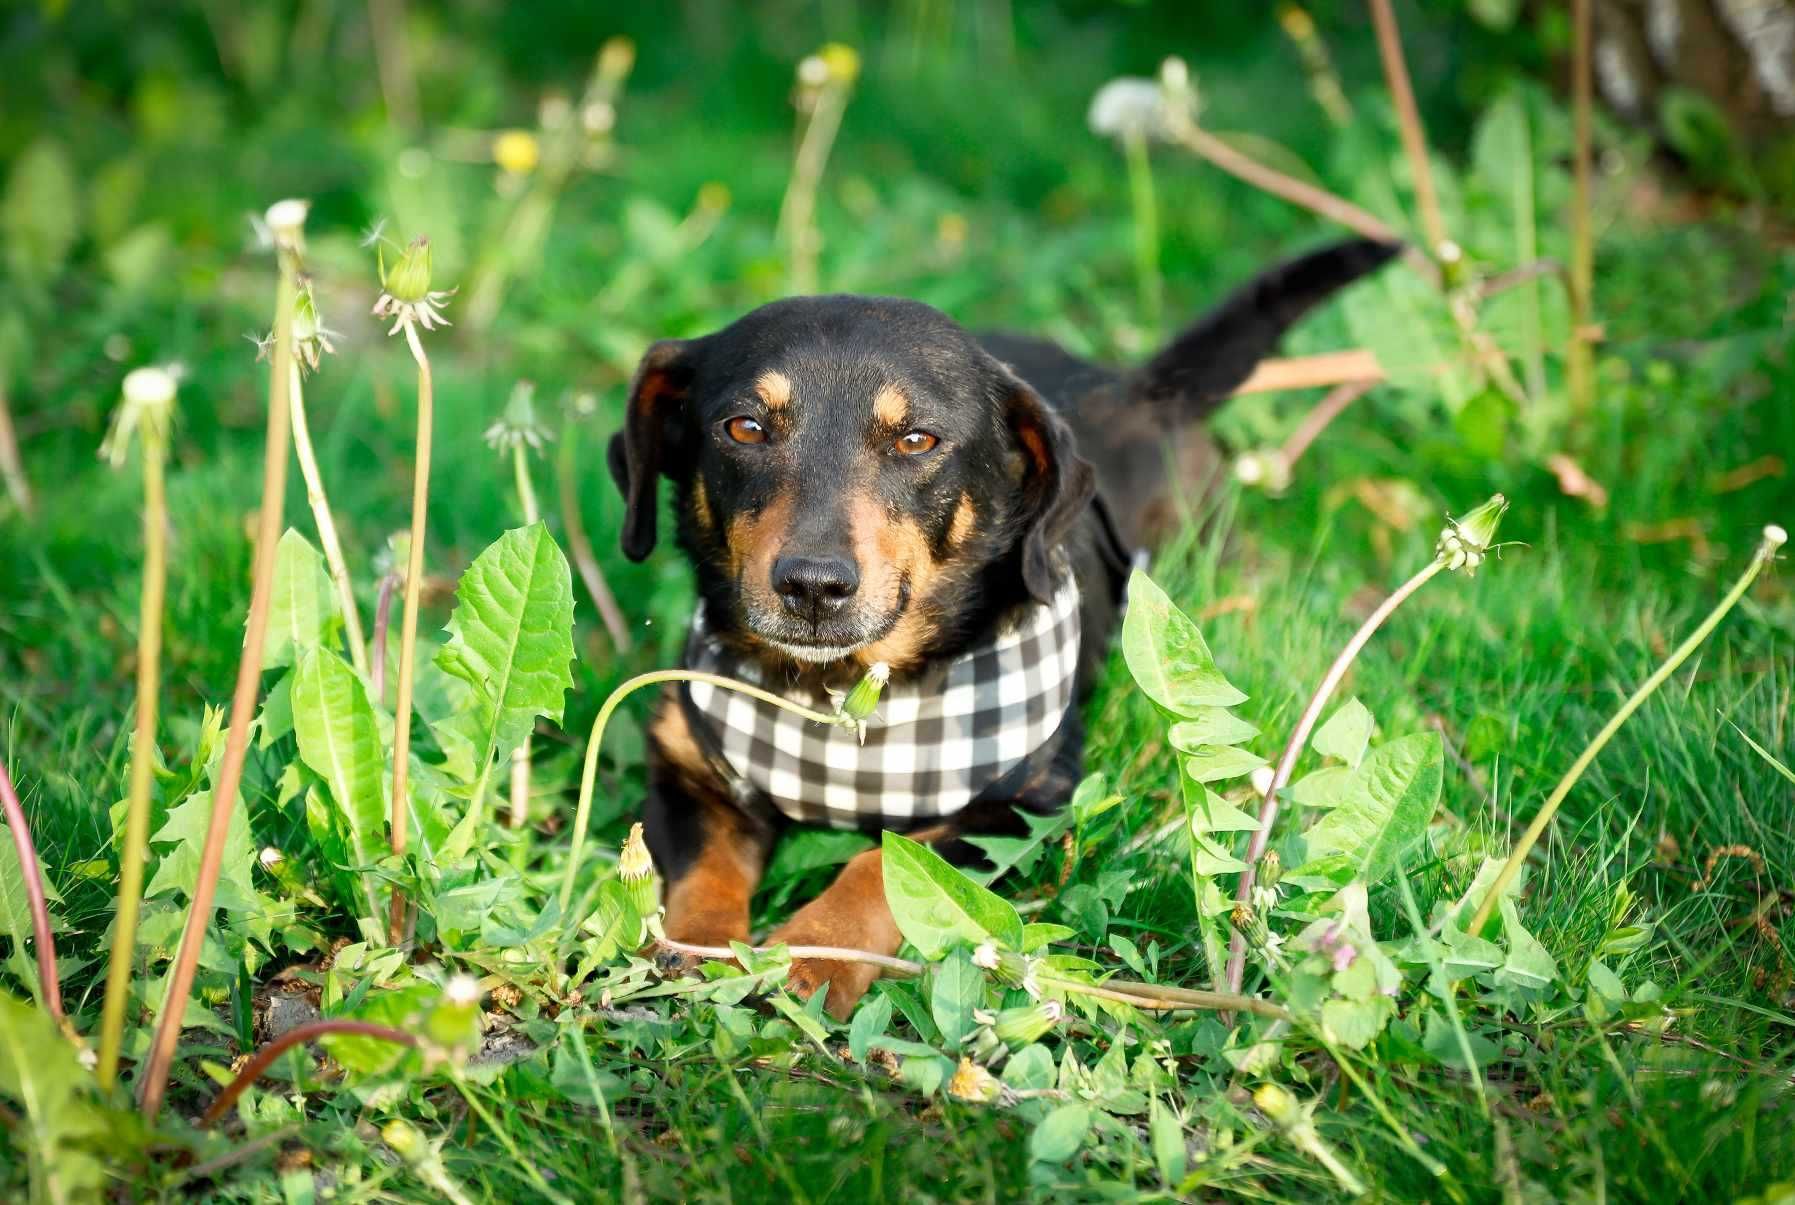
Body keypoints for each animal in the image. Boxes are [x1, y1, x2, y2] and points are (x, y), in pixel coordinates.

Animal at [610, 235, 1392, 1020]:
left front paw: (813, 954)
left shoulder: (1024, 802)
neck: (839, 699)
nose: (812, 586)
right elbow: (705, 871)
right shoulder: (686, 769)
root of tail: (1144, 388)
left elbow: (883, 863)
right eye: (744, 427)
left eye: (917, 439)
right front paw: (695, 948)